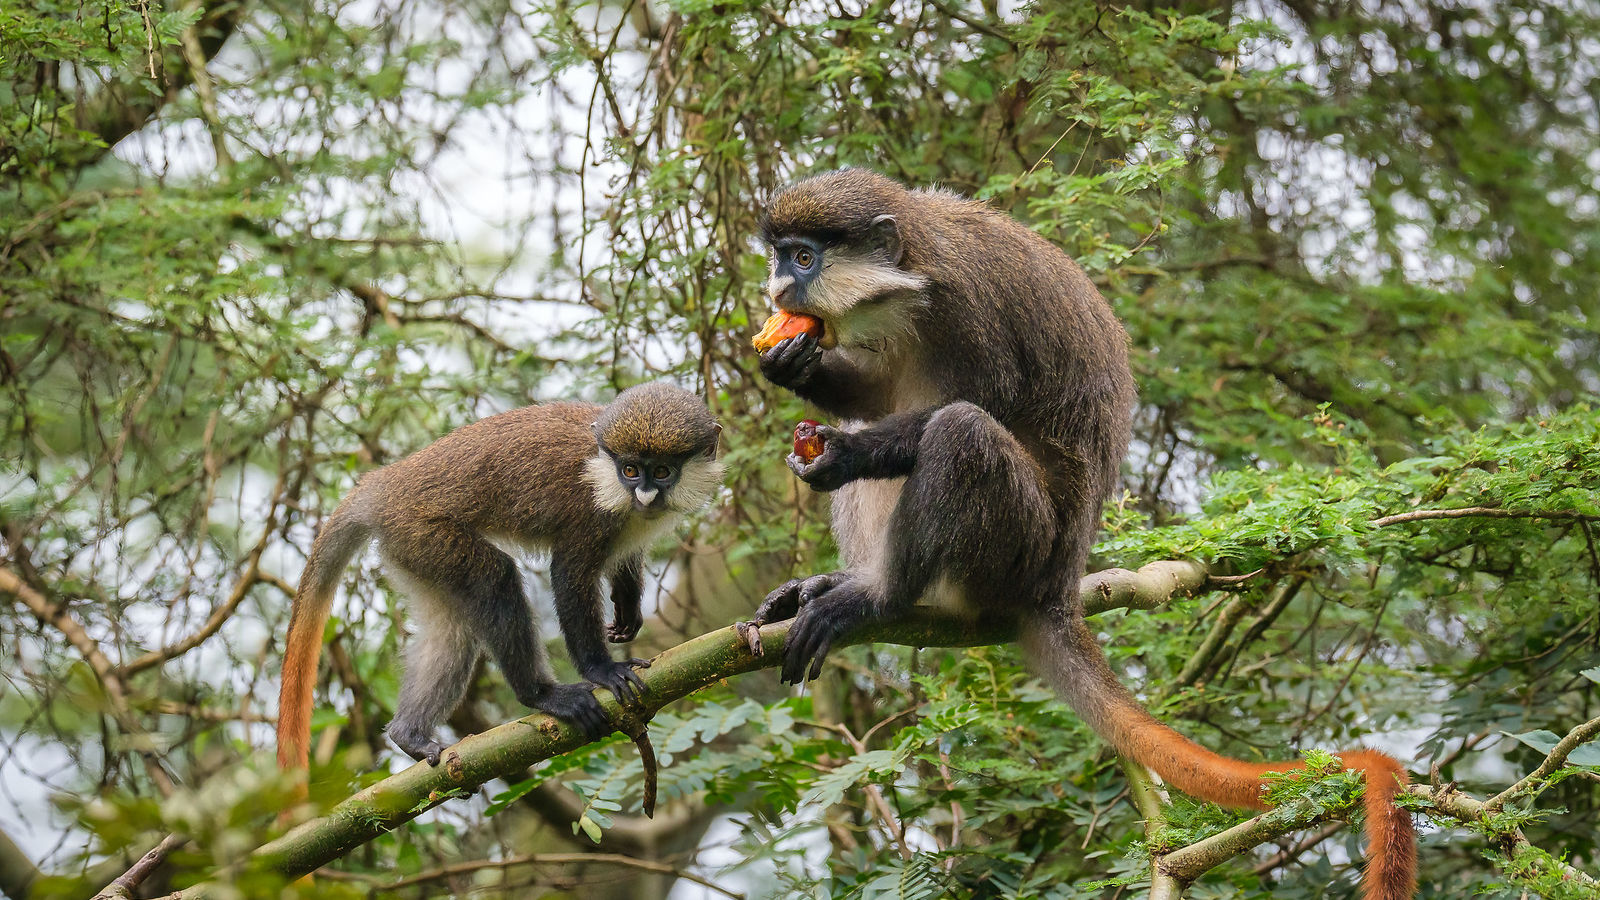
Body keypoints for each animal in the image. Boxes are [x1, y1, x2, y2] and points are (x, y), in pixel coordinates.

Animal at [278, 381, 723, 768]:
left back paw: (409, 735)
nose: (645, 495)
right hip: (424, 531)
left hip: (410, 549)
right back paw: (541, 695)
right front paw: (601, 670)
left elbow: (626, 558)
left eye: (661, 471)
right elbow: (569, 574)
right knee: (497, 579)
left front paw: (628, 607)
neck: (604, 469)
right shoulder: (588, 514)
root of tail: (380, 485)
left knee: (452, 634)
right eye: (631, 470)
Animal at [739, 168, 1414, 896]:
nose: (778, 289)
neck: (912, 285)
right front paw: (792, 364)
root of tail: (1058, 586)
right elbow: (879, 396)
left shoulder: (970, 311)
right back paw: (846, 580)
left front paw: (842, 451)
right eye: (779, 255)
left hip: (1015, 549)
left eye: (803, 257)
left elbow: (966, 407)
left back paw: (878, 597)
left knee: (962, 432)